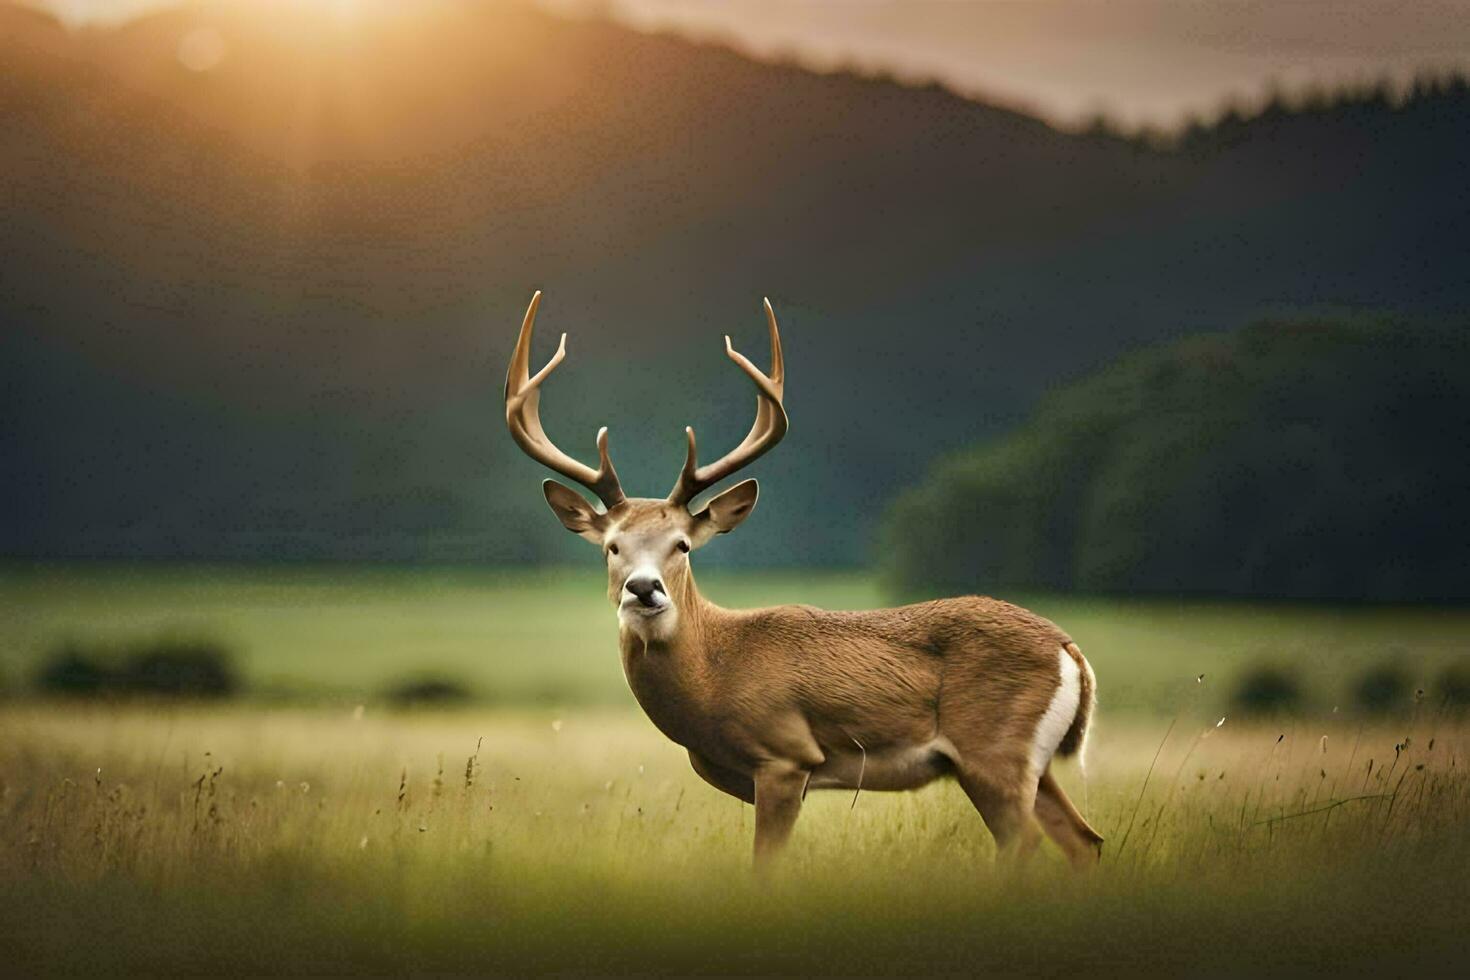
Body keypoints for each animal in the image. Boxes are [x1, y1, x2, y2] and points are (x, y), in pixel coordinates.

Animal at [505, 289, 1105, 863]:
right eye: (612, 547)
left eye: (682, 545)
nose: (644, 588)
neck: (715, 670)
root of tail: (1070, 650)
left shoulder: (784, 756)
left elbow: (766, 864)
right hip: (1026, 765)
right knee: (1085, 840)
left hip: (993, 750)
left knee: (1026, 841)